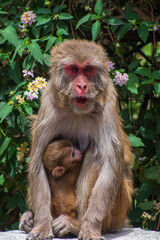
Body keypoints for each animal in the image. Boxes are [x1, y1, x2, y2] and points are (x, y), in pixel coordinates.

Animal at [19, 40, 133, 239]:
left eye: (88, 69)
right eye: (73, 69)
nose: (82, 86)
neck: (77, 110)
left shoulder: (109, 101)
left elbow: (111, 164)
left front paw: (89, 227)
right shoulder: (48, 102)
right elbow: (37, 162)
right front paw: (41, 225)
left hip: (117, 211)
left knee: (96, 154)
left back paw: (75, 224)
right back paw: (29, 218)